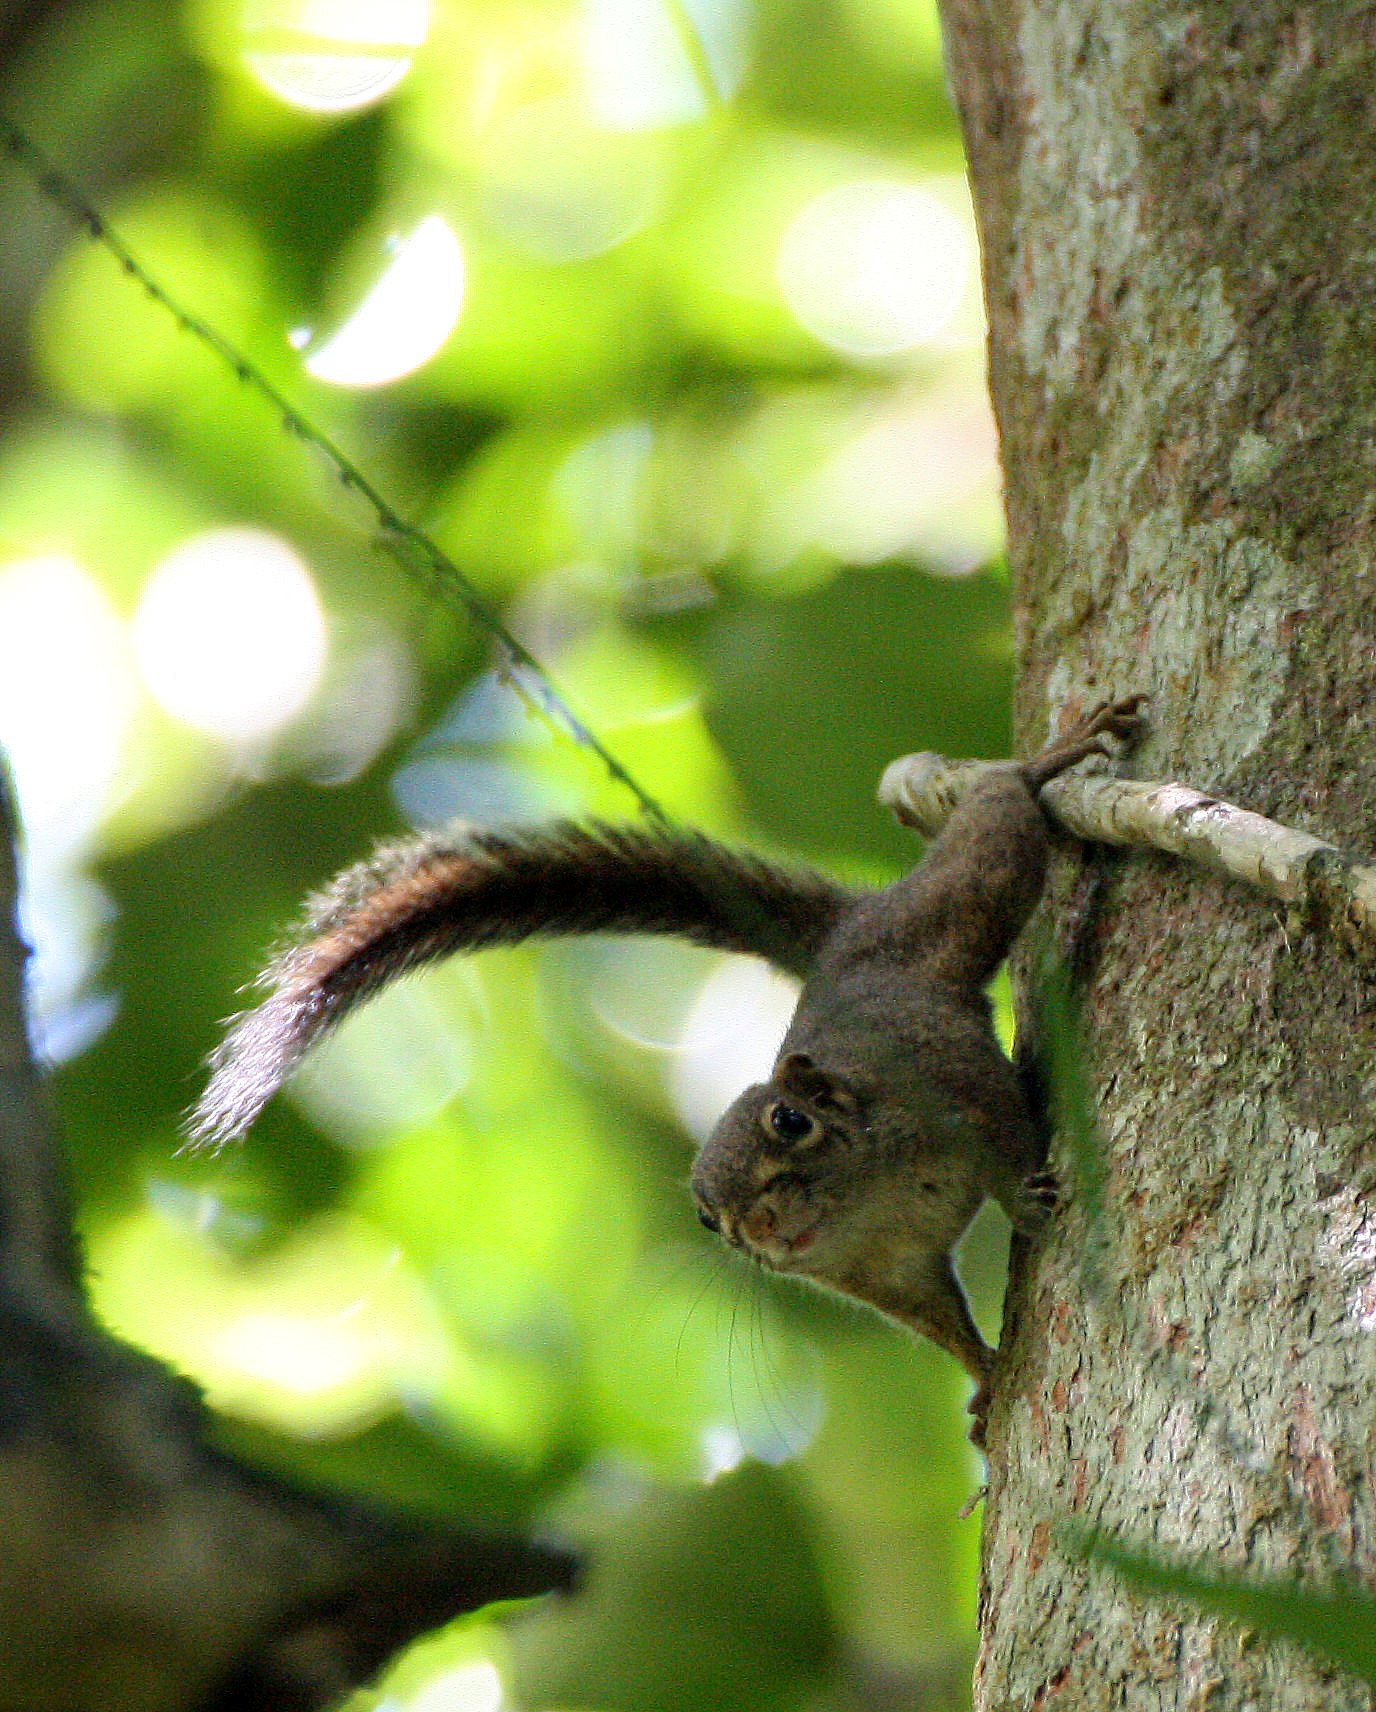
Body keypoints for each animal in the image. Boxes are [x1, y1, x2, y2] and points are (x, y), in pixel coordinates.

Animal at [191, 694, 1145, 1440]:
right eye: (706, 1221)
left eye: (790, 1124)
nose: (762, 1232)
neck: (869, 1200)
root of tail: (849, 932)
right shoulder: (883, 1274)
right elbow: (936, 1319)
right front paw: (984, 1378)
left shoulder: (948, 1089)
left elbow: (1004, 1134)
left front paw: (1029, 1198)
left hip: (954, 903)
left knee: (995, 822)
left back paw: (1047, 759)